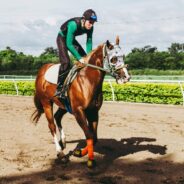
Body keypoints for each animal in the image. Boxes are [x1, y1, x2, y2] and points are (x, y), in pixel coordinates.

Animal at [30, 36, 130, 168]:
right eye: (113, 58)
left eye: (123, 56)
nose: (126, 77)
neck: (88, 81)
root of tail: (42, 71)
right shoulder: (79, 111)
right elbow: (89, 135)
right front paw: (90, 160)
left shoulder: (93, 111)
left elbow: (94, 137)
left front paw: (79, 152)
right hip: (46, 102)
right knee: (51, 125)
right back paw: (60, 153)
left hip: (64, 105)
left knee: (57, 117)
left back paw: (63, 142)